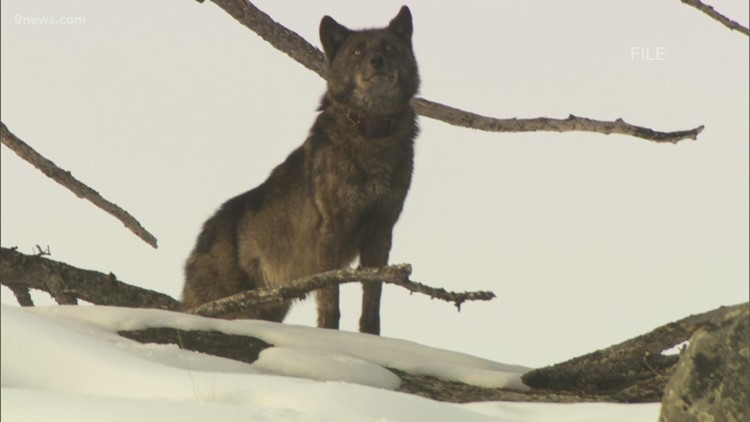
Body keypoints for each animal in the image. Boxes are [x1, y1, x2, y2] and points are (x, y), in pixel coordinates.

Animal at [181, 6, 419, 335]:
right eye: (358, 50)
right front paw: (330, 337)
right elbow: (330, 300)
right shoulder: (331, 229)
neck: (371, 133)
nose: (377, 60)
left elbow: (372, 300)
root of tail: (201, 237)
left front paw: (371, 338)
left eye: (388, 47)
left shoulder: (381, 230)